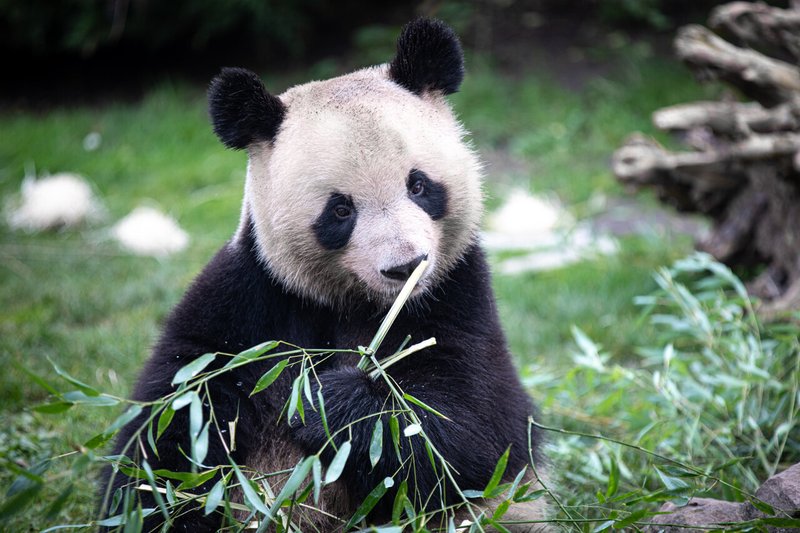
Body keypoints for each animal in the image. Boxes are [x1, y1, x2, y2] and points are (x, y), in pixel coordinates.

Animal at [102, 18, 546, 532]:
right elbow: (173, 422)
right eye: (340, 210)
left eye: (418, 185)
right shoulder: (250, 299)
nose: (405, 267)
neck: (358, 301)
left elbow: (475, 428)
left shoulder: (457, 294)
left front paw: (326, 405)